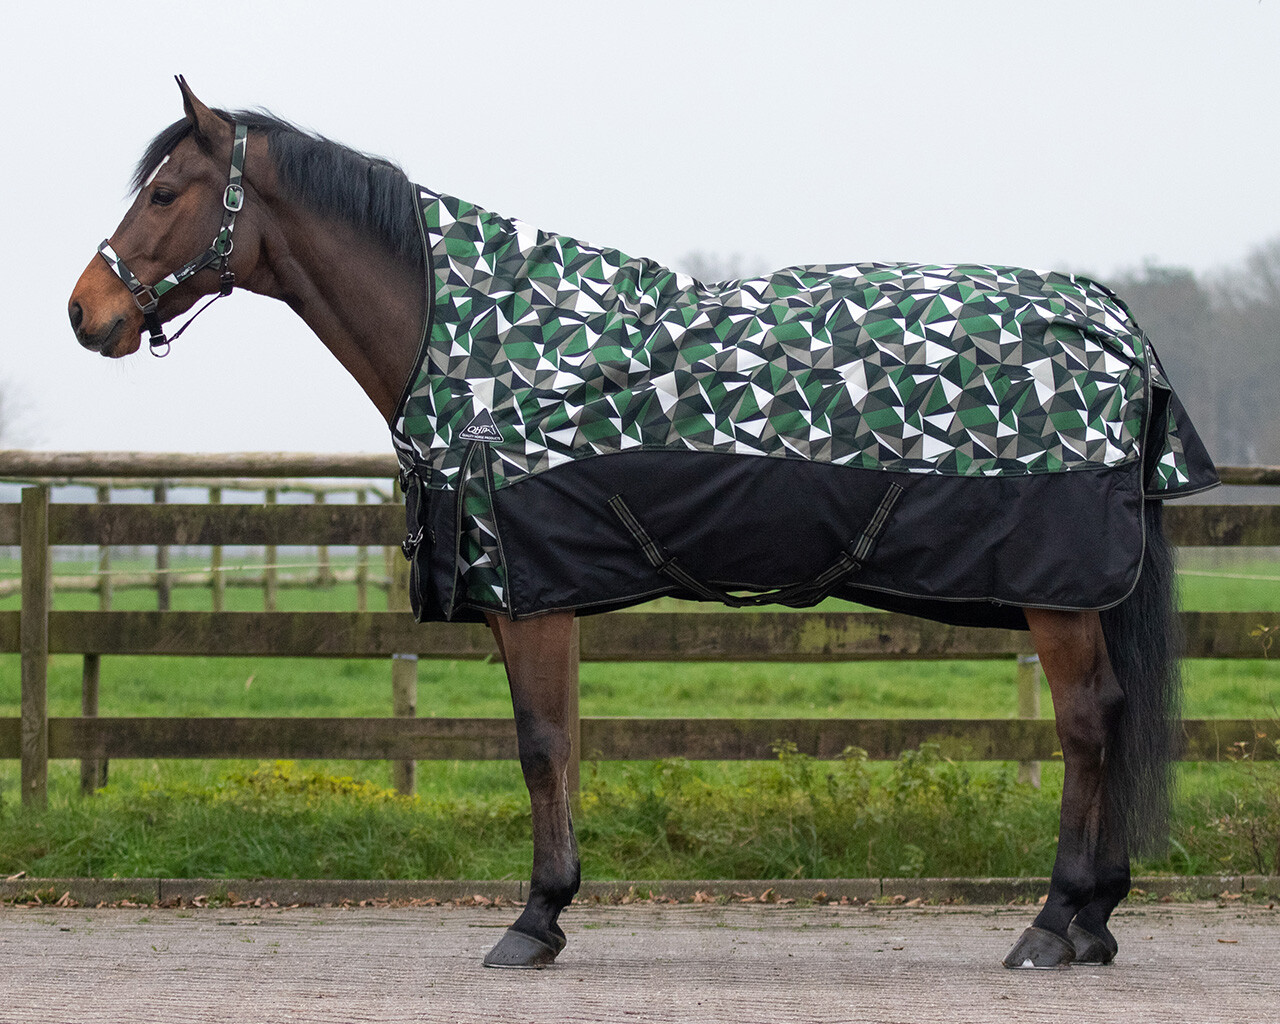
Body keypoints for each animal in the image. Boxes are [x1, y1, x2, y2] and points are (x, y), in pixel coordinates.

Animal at [69, 78, 1218, 971]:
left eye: (164, 193)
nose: (86, 313)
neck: (479, 347)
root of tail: (1107, 316)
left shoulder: (529, 596)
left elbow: (538, 746)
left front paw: (531, 922)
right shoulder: (546, 595)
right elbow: (564, 741)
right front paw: (554, 906)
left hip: (1057, 593)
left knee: (1087, 723)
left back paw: (1052, 924)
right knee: (1109, 720)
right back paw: (1094, 920)